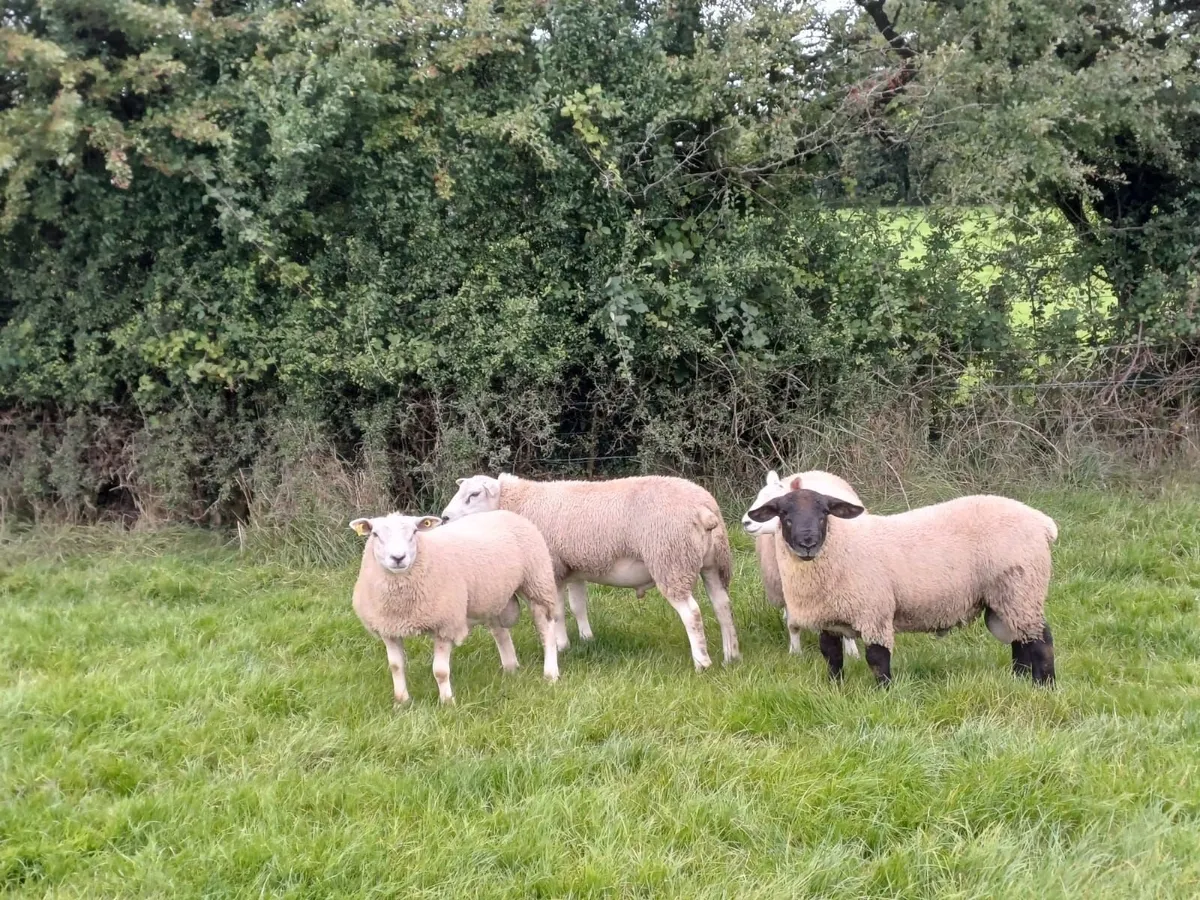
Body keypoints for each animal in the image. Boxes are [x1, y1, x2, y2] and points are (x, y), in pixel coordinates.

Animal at [349, 510, 560, 705]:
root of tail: (505, 512)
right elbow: (396, 666)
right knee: (500, 632)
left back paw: (550, 674)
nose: (398, 557)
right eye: (375, 534)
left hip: (537, 582)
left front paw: (447, 702)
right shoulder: (389, 629)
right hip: (490, 596)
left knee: (546, 629)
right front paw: (401, 702)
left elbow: (440, 671)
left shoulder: (445, 625)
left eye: (414, 531)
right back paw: (510, 669)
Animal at [440, 473, 737, 672]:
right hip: (713, 564)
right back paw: (731, 655)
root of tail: (705, 510)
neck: (518, 503)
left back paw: (702, 662)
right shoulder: (574, 570)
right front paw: (586, 639)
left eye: (474, 495)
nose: (443, 518)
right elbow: (578, 606)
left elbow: (558, 612)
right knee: (722, 606)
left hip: (670, 560)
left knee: (692, 613)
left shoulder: (552, 568)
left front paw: (561, 645)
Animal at [746, 489, 1057, 685]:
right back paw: (1019, 680)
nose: (808, 543)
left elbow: (877, 658)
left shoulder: (874, 611)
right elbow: (831, 656)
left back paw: (1044, 686)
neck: (840, 545)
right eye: (784, 514)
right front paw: (835, 688)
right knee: (1021, 639)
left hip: (1022, 587)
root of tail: (1042, 522)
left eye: (824, 513)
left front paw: (883, 693)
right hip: (1008, 596)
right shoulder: (829, 618)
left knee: (1041, 641)